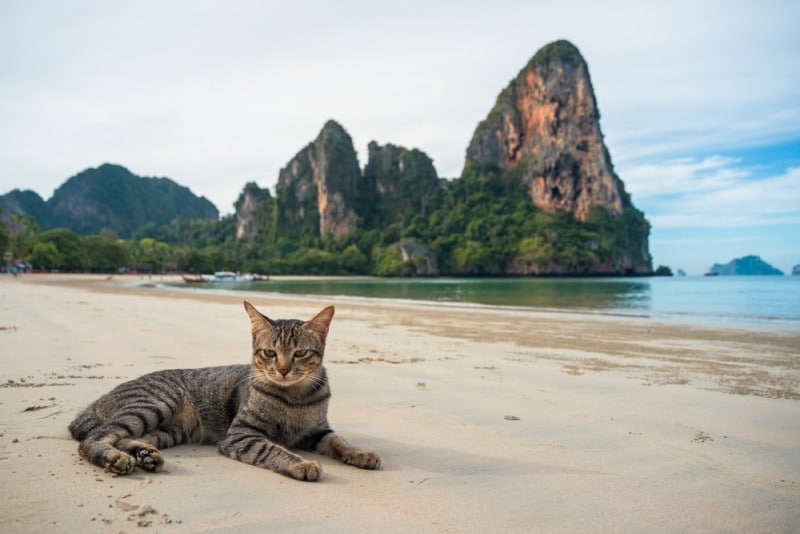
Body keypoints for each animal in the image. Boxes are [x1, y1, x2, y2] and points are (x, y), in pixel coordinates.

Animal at [69, 304, 382, 484]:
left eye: (300, 354)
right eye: (269, 353)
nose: (282, 370)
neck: (295, 397)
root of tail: (96, 403)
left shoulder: (317, 431)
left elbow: (339, 441)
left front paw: (360, 453)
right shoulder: (241, 435)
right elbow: (272, 449)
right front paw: (300, 463)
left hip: (169, 430)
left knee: (125, 438)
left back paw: (145, 455)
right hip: (154, 404)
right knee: (94, 438)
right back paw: (114, 458)